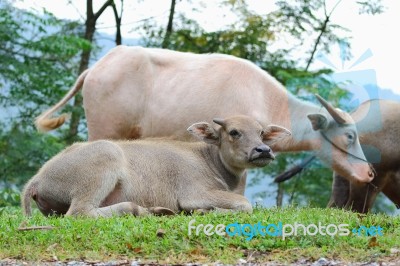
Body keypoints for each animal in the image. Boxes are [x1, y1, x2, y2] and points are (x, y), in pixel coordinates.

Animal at [21, 115, 290, 217]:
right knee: (80, 213)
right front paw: (203, 212)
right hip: (104, 162)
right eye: (234, 132)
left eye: (261, 133)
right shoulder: (194, 193)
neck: (209, 160)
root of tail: (37, 179)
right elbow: (245, 204)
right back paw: (141, 210)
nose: (263, 150)